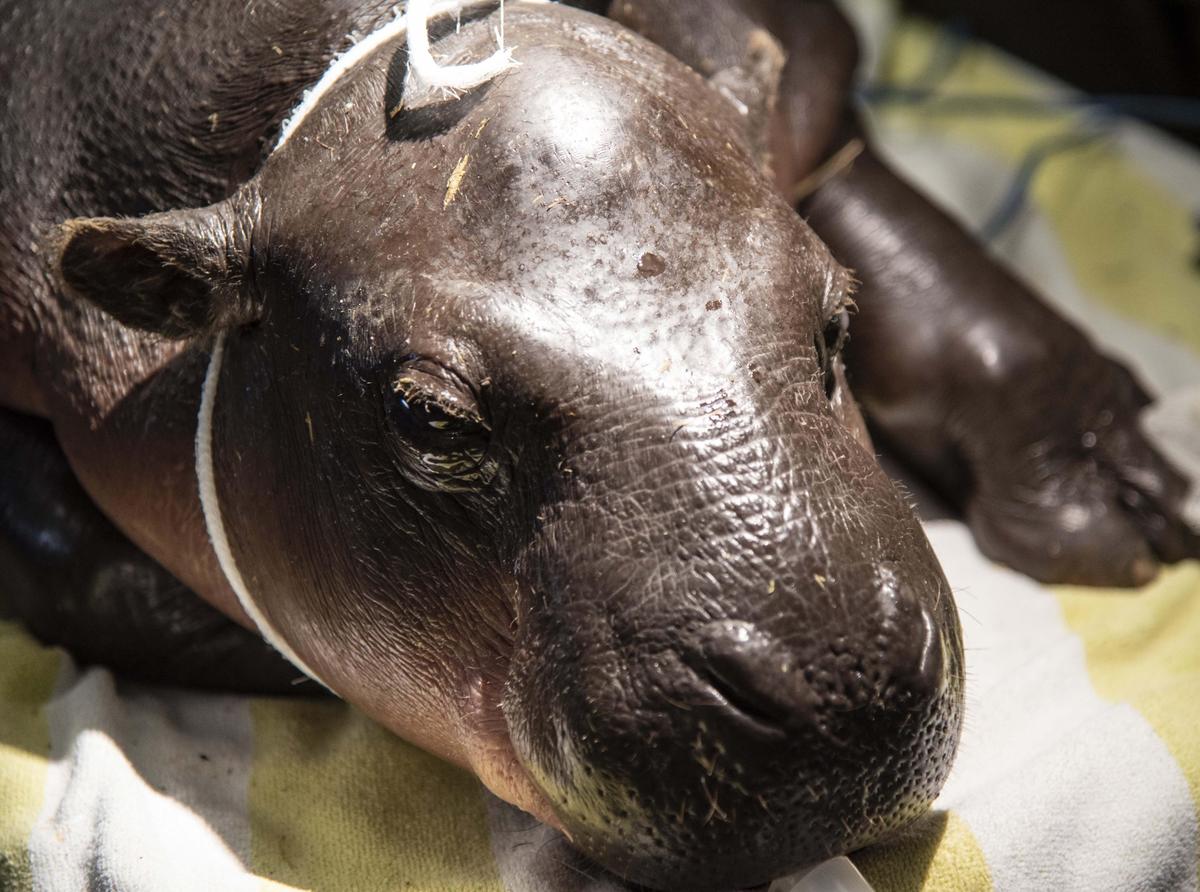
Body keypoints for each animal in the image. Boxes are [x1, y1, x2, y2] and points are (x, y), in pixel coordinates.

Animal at [1, 0, 1196, 888]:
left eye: (831, 319)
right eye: (428, 417)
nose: (838, 682)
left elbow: (908, 242)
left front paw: (1124, 497)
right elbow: (63, 551)